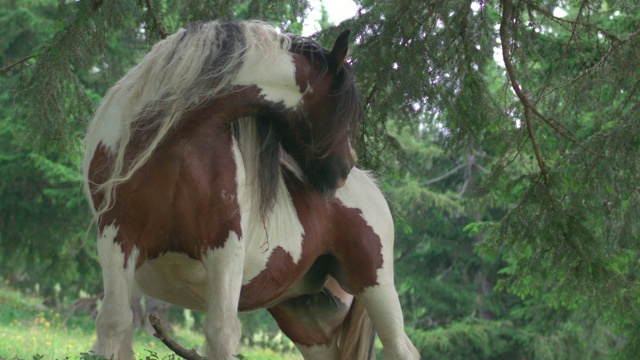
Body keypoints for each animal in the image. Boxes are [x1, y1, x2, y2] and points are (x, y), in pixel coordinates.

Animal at [81, 20, 420, 360]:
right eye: (345, 105)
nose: (345, 168)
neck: (174, 144)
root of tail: (373, 190)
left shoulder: (225, 247)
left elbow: (221, 332)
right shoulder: (116, 241)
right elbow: (114, 323)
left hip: (375, 287)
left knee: (402, 349)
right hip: (307, 319)